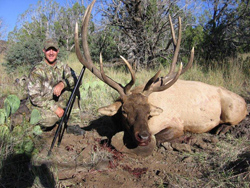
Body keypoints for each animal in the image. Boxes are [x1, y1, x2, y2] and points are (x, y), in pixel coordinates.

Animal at [73, 0, 246, 156]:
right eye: (124, 111)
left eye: (149, 112)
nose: (143, 136)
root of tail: (244, 101)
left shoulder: (176, 124)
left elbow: (158, 137)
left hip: (232, 110)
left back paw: (221, 128)